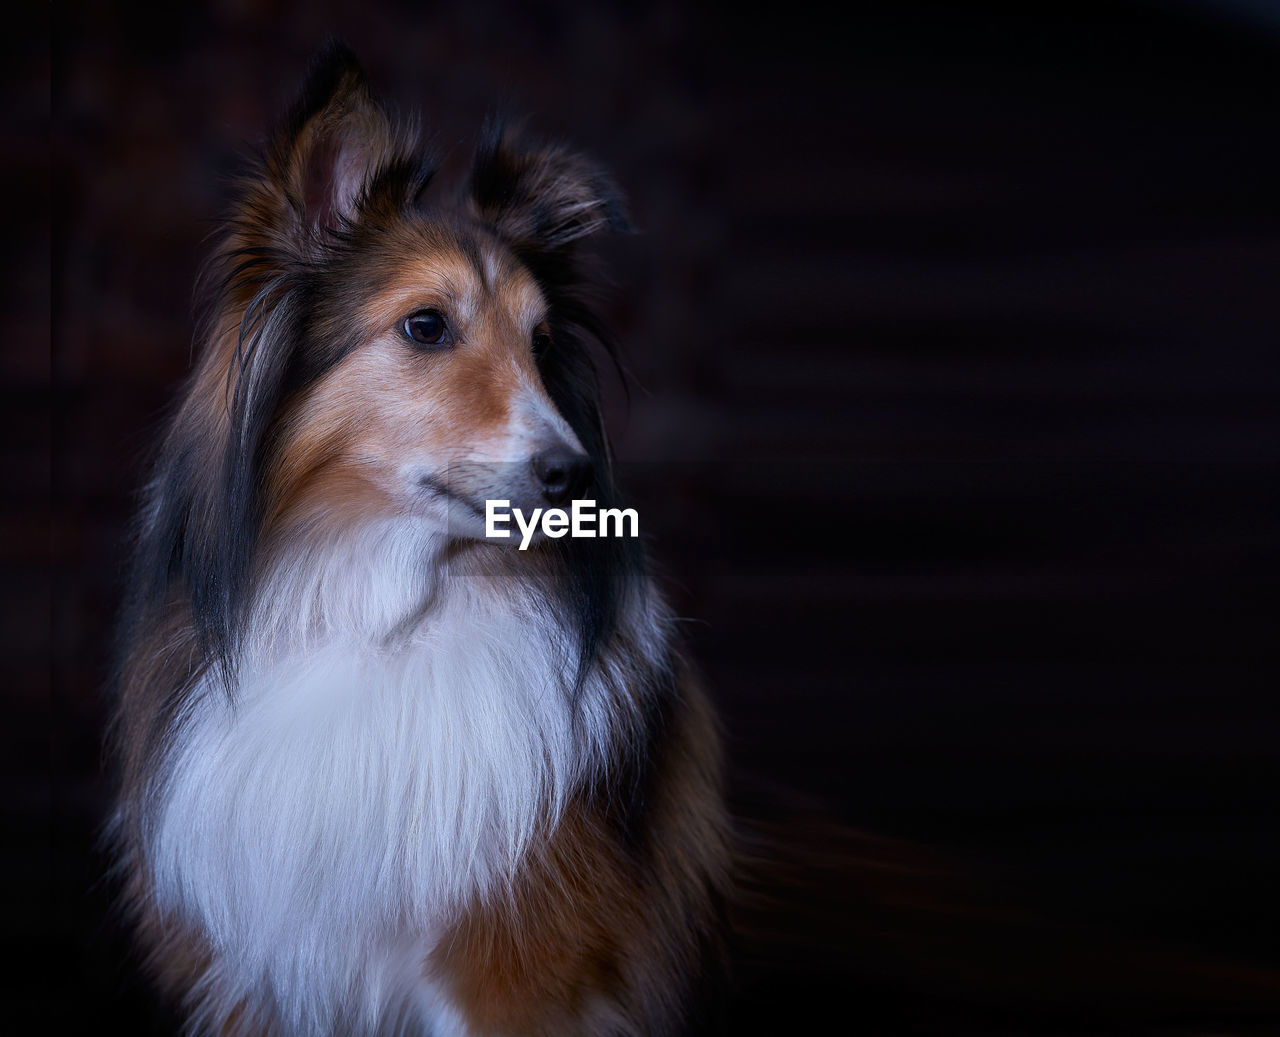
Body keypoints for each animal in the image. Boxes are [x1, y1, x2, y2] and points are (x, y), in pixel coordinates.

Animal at [115, 44, 737, 1029]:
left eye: (542, 341)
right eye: (425, 325)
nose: (573, 475)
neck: (389, 616)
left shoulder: (520, 975)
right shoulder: (264, 975)